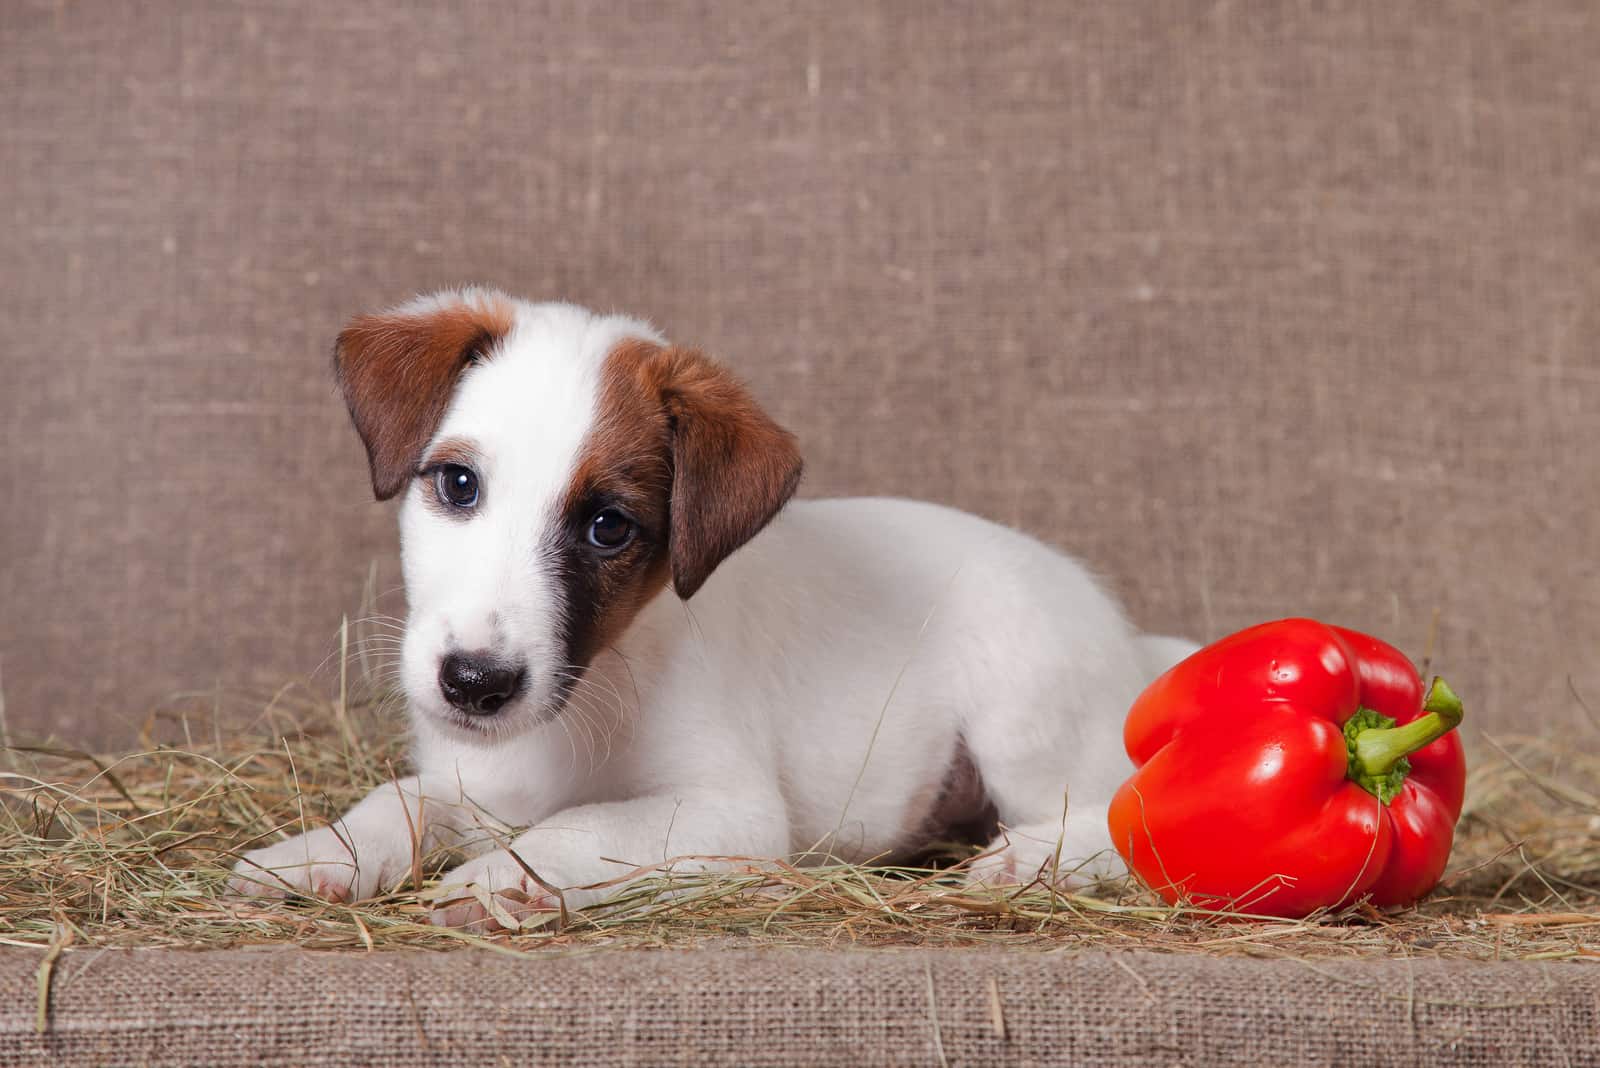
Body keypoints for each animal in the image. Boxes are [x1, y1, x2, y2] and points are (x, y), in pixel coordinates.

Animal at [232, 286, 1196, 927]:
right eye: (458, 484)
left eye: (609, 528)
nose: (476, 684)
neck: (593, 694)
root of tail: (1131, 639)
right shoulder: (472, 780)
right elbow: (396, 799)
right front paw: (316, 855)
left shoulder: (727, 810)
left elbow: (580, 824)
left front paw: (499, 880)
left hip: (1023, 716)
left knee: (1124, 814)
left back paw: (1027, 860)